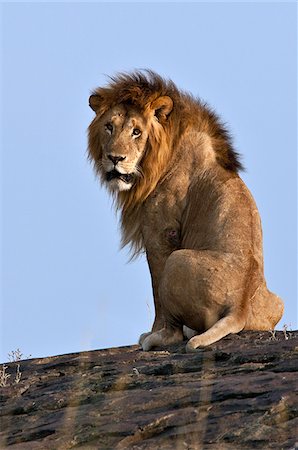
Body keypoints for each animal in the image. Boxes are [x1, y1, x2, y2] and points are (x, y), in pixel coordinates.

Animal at [86, 69, 284, 352]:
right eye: (109, 127)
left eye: (136, 132)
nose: (115, 159)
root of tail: (239, 308)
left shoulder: (160, 232)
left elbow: (156, 290)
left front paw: (154, 332)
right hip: (279, 302)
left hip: (177, 260)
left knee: (174, 323)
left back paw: (162, 338)